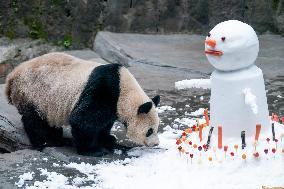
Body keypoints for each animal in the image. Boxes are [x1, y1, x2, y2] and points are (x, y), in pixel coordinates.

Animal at [5, 52, 160, 156]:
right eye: (149, 131)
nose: (156, 143)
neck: (124, 89)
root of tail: (11, 77)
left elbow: (104, 123)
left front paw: (107, 138)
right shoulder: (104, 89)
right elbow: (83, 120)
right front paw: (93, 150)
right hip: (32, 93)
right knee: (35, 121)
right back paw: (47, 142)